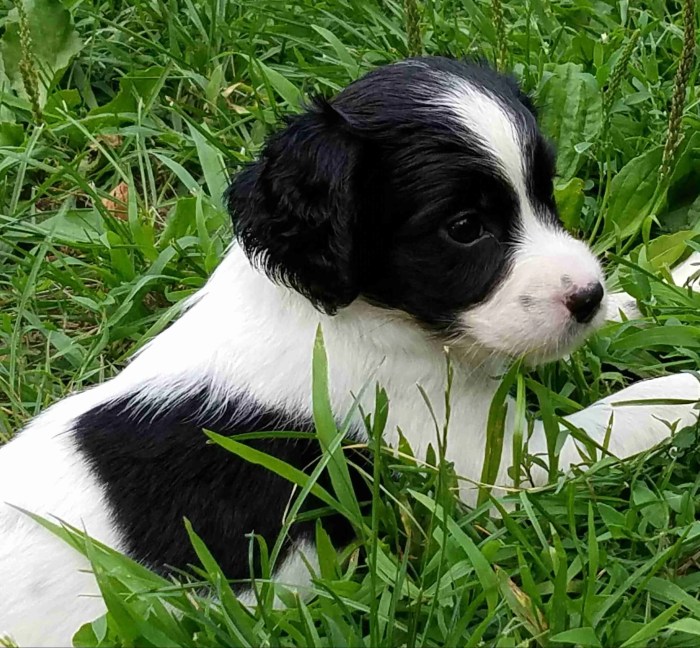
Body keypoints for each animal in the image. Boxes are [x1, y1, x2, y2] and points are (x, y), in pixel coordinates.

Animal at [1, 58, 700, 644]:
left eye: (545, 193)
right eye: (464, 228)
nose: (586, 295)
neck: (358, 315)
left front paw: (667, 286)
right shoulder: (487, 465)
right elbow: (608, 421)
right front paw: (683, 390)